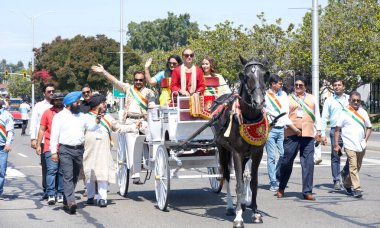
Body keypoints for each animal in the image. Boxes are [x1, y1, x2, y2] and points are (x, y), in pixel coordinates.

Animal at [211, 56, 270, 227]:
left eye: (265, 75)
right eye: (246, 76)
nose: (258, 102)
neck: (249, 116)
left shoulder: (257, 152)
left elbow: (253, 181)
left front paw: (255, 212)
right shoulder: (236, 152)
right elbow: (237, 183)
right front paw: (238, 217)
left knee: (244, 175)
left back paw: (243, 204)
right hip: (222, 149)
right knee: (226, 174)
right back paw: (231, 206)